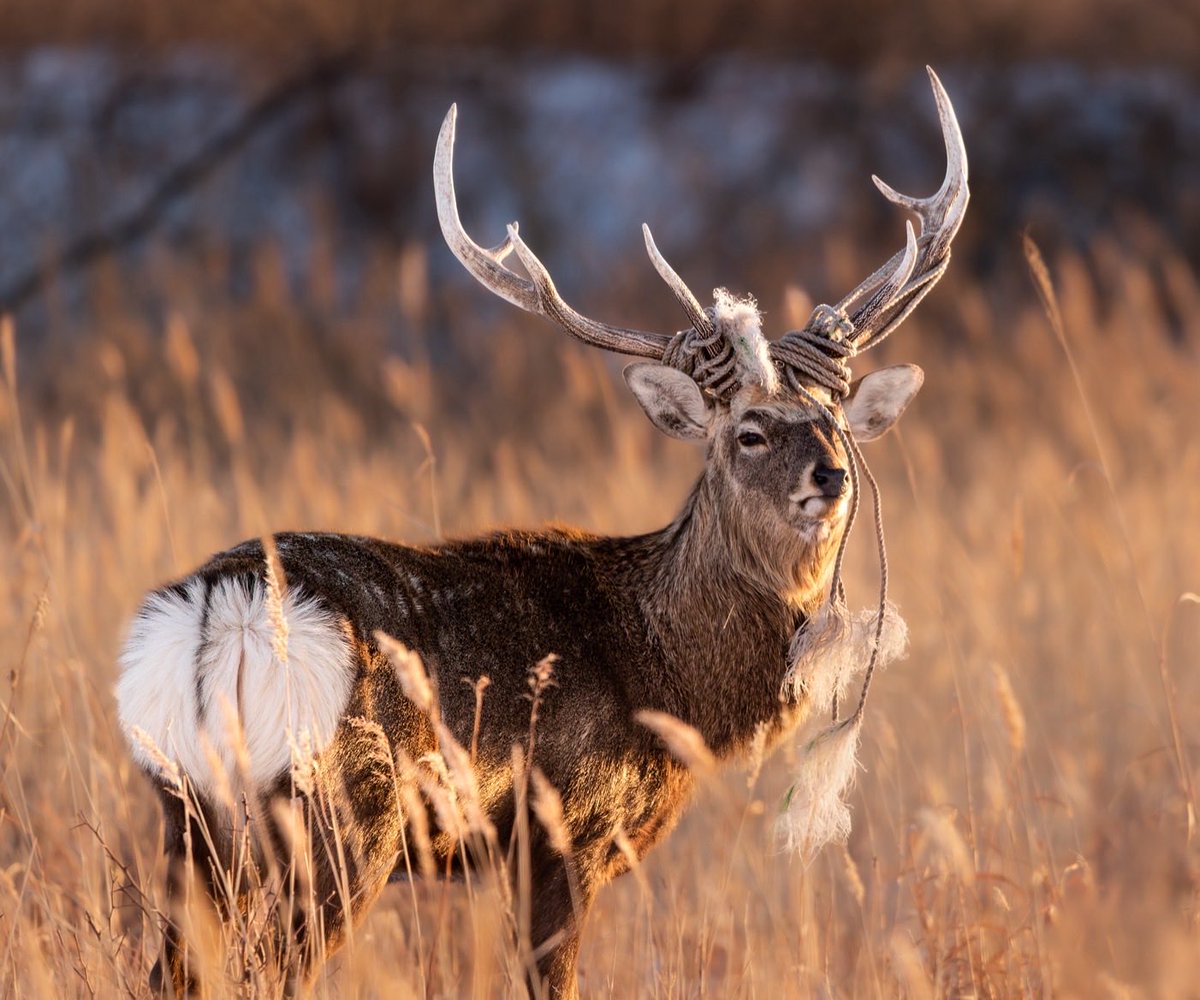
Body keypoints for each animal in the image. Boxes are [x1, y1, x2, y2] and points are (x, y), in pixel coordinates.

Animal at [116, 68, 967, 999]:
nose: (831, 477)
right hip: (339, 819)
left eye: (838, 423)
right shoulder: (564, 829)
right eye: (748, 432)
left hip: (188, 817)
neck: (663, 666)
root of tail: (214, 616)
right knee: (268, 968)